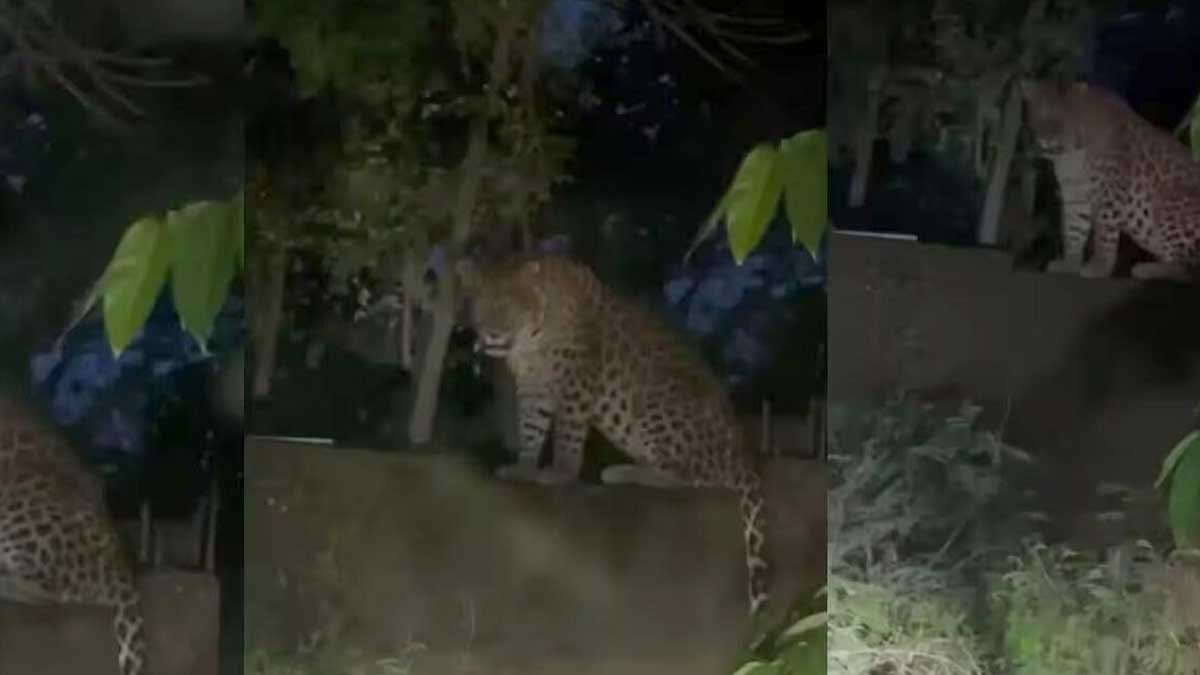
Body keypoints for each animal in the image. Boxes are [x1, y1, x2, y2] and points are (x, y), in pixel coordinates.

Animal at [457, 253, 771, 616]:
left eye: (508, 306)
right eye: (480, 306)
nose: (491, 334)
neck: (532, 339)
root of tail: (745, 454)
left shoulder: (576, 380)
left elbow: (568, 433)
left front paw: (561, 472)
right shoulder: (533, 386)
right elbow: (530, 428)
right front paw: (524, 466)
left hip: (656, 403)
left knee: (694, 477)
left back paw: (621, 471)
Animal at [1019, 78, 1200, 281]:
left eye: (1061, 119)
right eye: (1041, 114)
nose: (1046, 141)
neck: (1071, 156)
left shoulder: (1110, 192)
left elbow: (1104, 233)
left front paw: (1100, 266)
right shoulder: (1075, 196)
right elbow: (1073, 230)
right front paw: (1069, 263)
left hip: (1169, 202)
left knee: (1185, 267)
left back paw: (1148, 269)